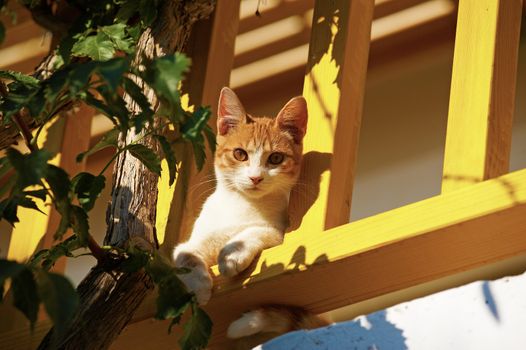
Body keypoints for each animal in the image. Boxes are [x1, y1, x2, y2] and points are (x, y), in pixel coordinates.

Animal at [175, 87, 328, 342]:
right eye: (240, 154)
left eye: (275, 158)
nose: (255, 177)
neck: (242, 206)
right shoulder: (193, 242)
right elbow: (185, 255)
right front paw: (199, 286)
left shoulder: (280, 231)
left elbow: (257, 231)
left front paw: (232, 254)